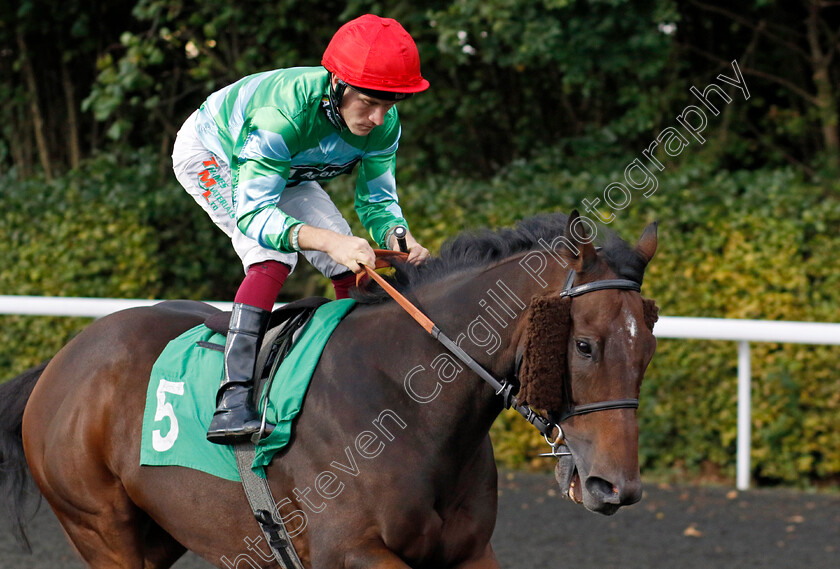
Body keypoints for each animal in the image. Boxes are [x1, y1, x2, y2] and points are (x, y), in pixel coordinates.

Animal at [0, 211, 656, 564]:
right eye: (584, 345)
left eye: (648, 345)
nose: (614, 486)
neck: (407, 402)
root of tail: (60, 362)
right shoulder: (350, 551)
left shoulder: (470, 551)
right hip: (100, 529)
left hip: (160, 530)